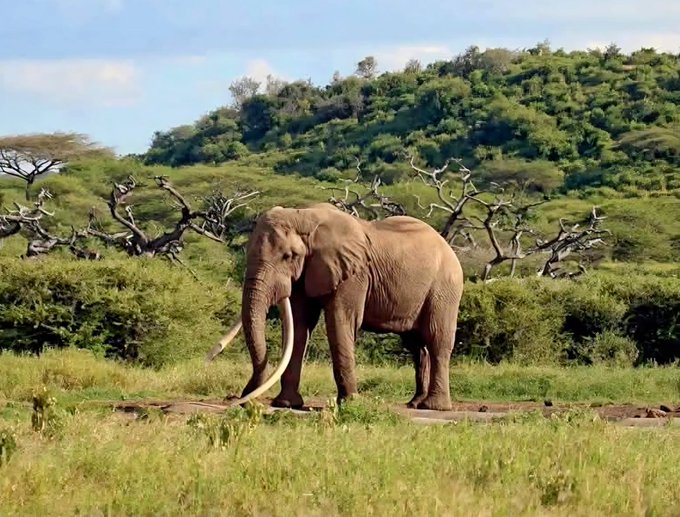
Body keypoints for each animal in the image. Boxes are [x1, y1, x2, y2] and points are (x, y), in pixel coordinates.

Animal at [206, 202, 464, 411]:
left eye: (288, 256)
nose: (238, 400)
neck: (304, 216)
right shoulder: (307, 272)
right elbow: (299, 325)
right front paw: (287, 404)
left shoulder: (354, 274)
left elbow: (340, 321)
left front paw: (350, 403)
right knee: (416, 346)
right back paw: (415, 403)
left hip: (445, 287)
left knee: (437, 340)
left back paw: (435, 407)